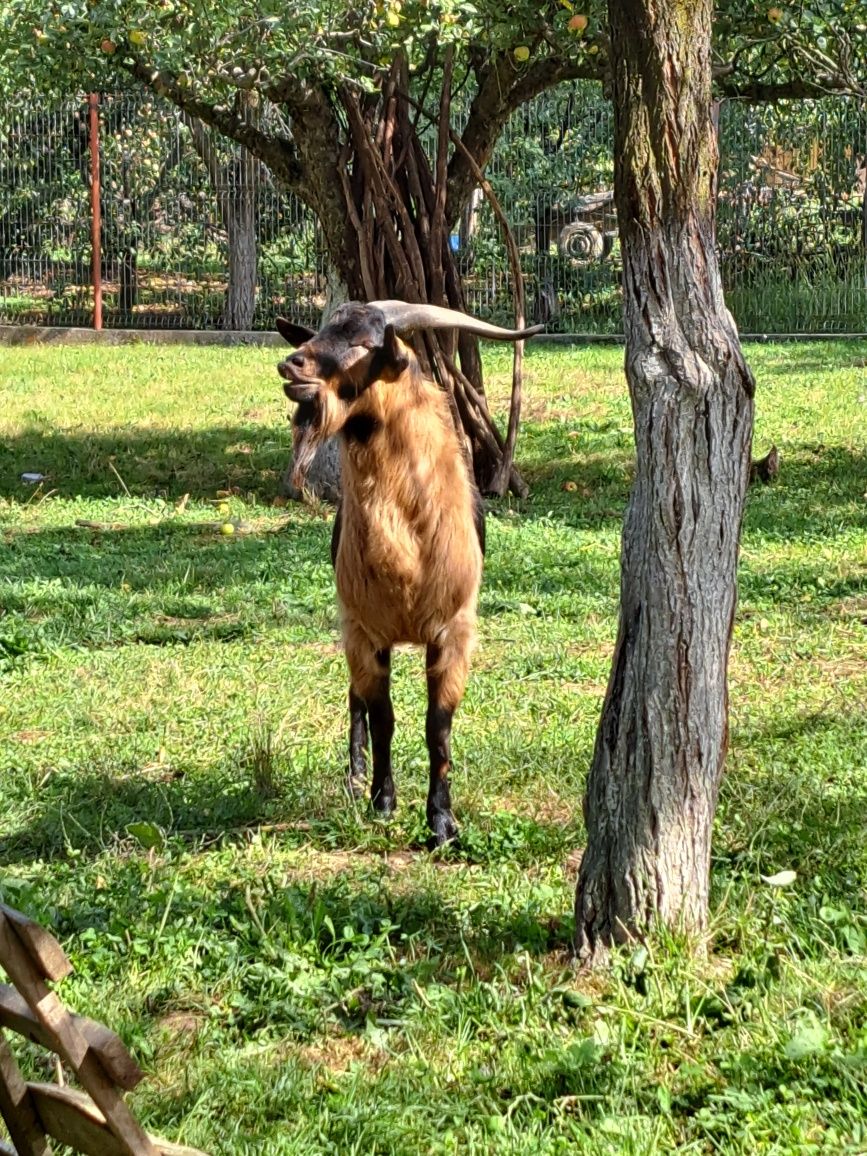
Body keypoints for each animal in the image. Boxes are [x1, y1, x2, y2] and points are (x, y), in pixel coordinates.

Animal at [278, 302, 541, 846]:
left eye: (362, 342)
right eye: (323, 328)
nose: (292, 365)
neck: (408, 551)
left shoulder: (453, 630)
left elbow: (437, 726)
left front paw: (441, 821)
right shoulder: (364, 629)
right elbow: (383, 718)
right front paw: (383, 802)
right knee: (355, 698)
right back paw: (355, 778)